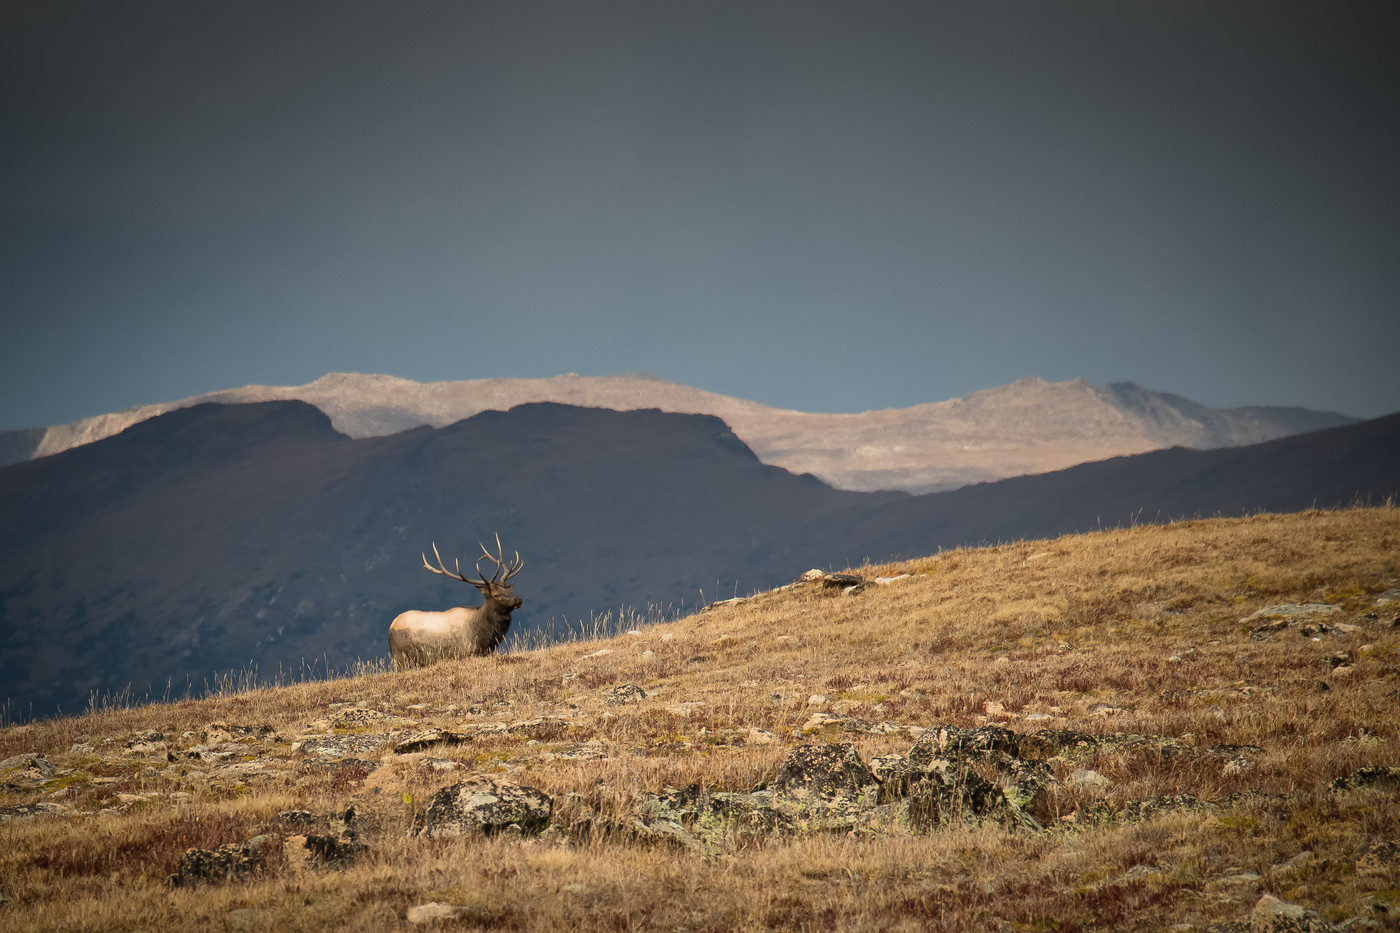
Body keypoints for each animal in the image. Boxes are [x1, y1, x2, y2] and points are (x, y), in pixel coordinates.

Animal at [389, 537, 526, 669]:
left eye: (509, 589)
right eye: (496, 595)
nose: (518, 600)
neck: (483, 635)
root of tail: (391, 626)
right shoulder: (465, 653)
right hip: (399, 657)